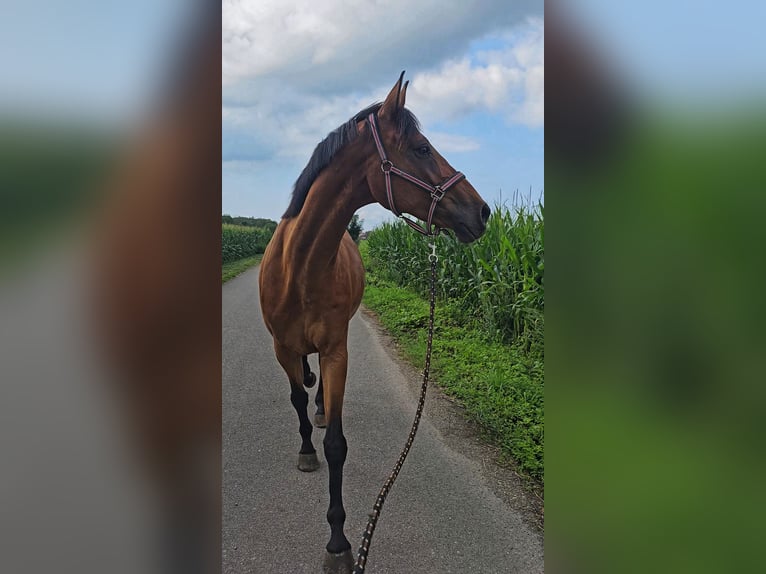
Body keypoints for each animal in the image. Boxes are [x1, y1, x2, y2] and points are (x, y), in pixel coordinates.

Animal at [260, 72, 488, 572]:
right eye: (421, 148)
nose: (482, 212)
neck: (299, 267)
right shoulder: (282, 348)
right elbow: (295, 401)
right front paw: (306, 452)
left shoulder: (337, 351)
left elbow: (336, 443)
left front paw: (338, 541)